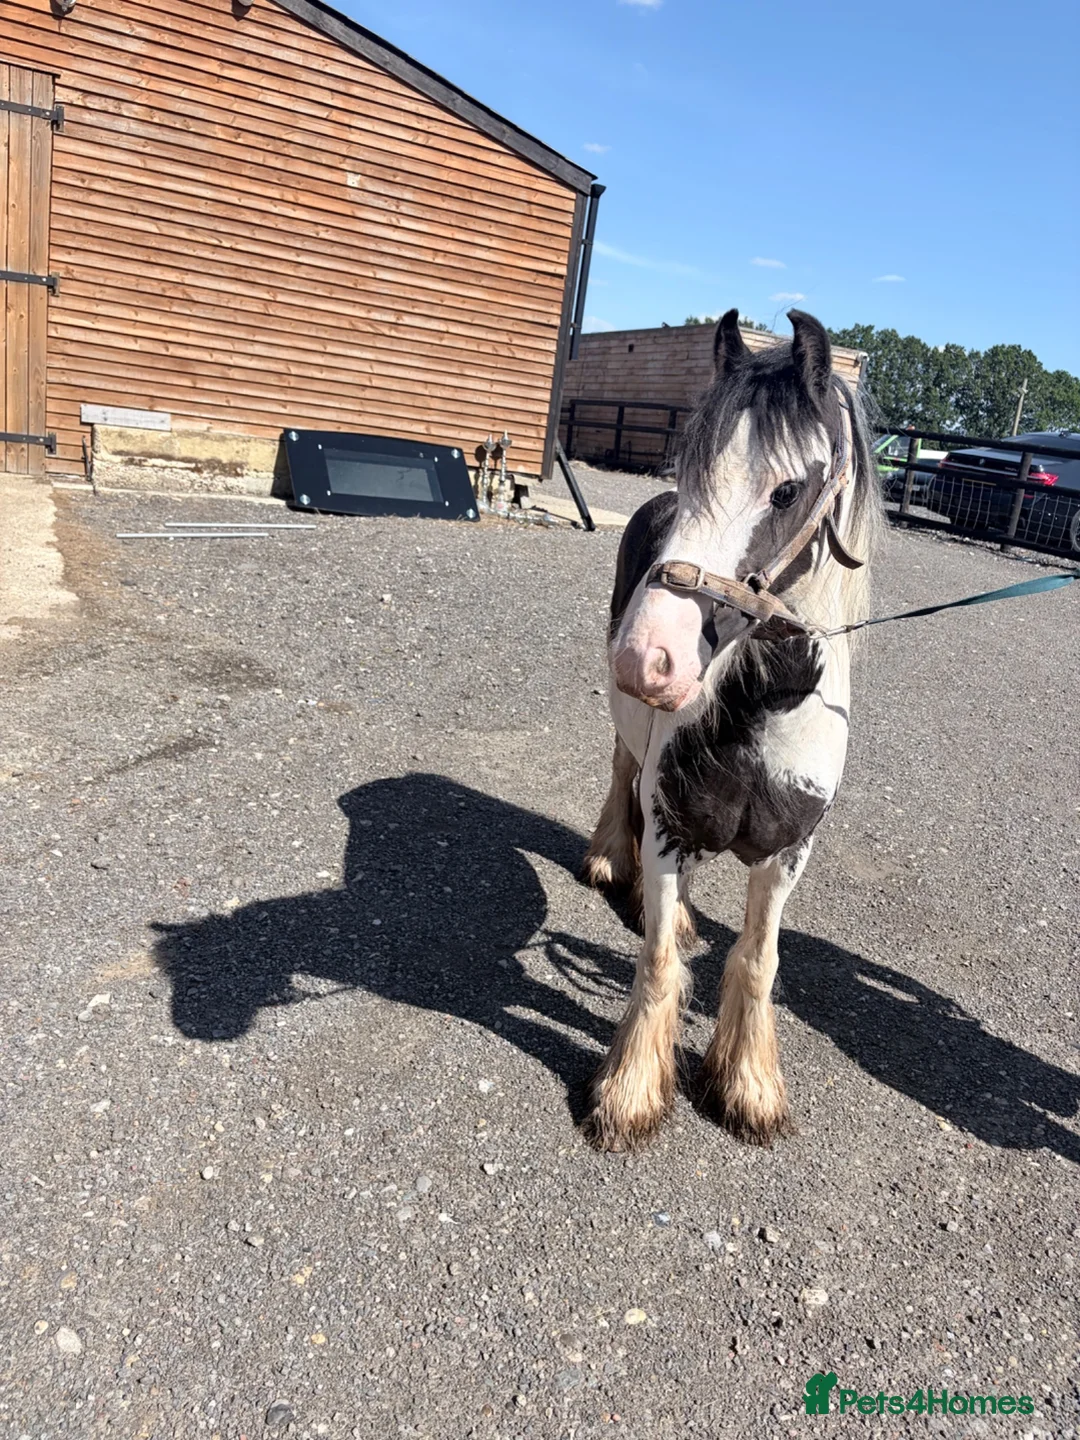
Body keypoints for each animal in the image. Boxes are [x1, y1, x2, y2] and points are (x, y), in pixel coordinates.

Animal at [580, 308, 884, 1153]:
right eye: (690, 471)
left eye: (787, 488)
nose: (647, 657)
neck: (762, 709)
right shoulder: (667, 824)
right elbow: (655, 962)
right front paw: (631, 1093)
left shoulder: (786, 854)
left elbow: (756, 960)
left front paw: (748, 1085)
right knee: (621, 772)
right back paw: (610, 862)